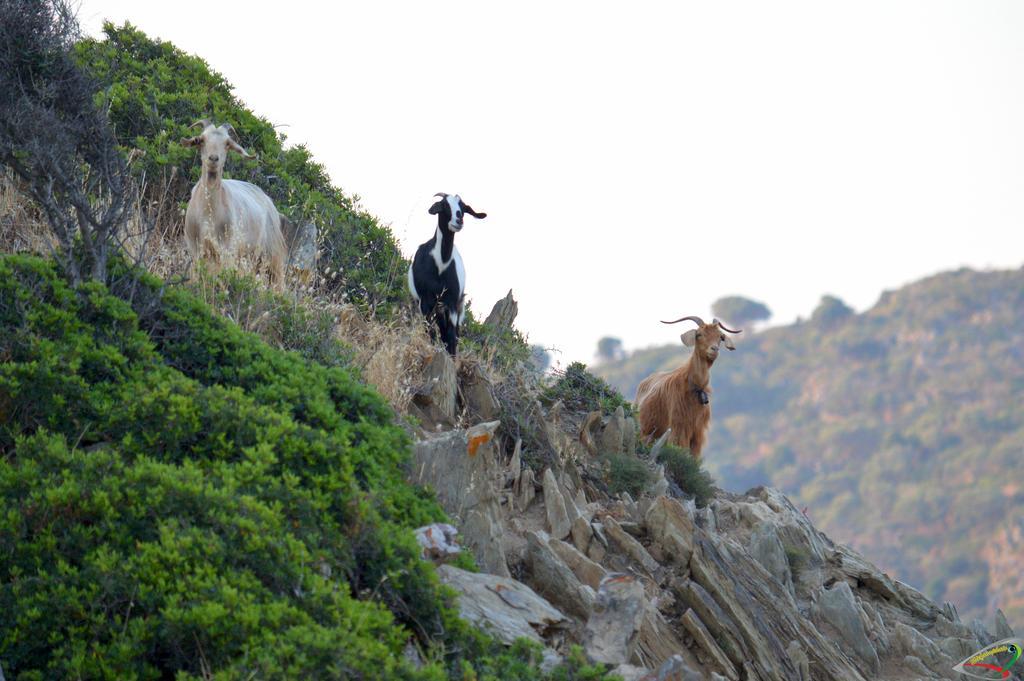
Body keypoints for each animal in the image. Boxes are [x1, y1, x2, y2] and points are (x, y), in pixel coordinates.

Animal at [181, 119, 288, 284]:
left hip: (271, 254)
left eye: (227, 143)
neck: (208, 213)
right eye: (202, 140)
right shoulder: (196, 249)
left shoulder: (227, 250)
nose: (213, 159)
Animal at [407, 191, 487, 356]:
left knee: (452, 332)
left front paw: (451, 357)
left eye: (463, 208)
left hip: (455, 305)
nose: (458, 220)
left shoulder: (451, 302)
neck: (441, 264)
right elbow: (429, 329)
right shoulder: (425, 300)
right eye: (444, 205)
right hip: (437, 306)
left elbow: (451, 335)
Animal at [634, 315, 741, 458]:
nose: (714, 349)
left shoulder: (698, 433)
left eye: (720, 337)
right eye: (699, 334)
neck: (694, 387)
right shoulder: (679, 427)